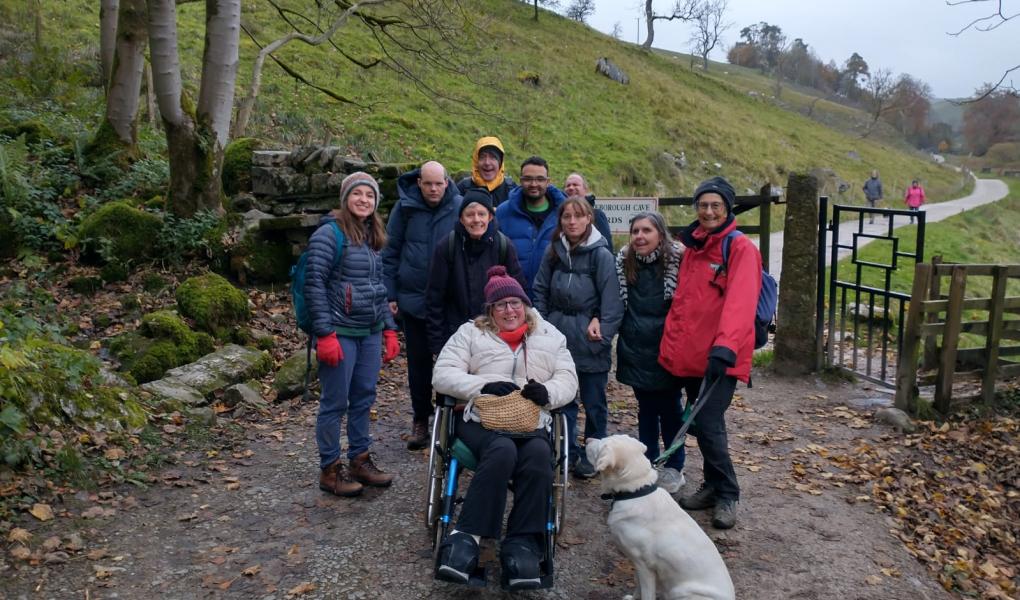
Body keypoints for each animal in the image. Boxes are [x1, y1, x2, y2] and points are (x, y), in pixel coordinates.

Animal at [587, 436, 738, 600]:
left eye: (601, 445)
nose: (587, 439)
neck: (636, 492)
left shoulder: (644, 566)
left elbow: (646, 594)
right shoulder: (637, 565)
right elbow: (638, 586)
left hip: (683, 592)